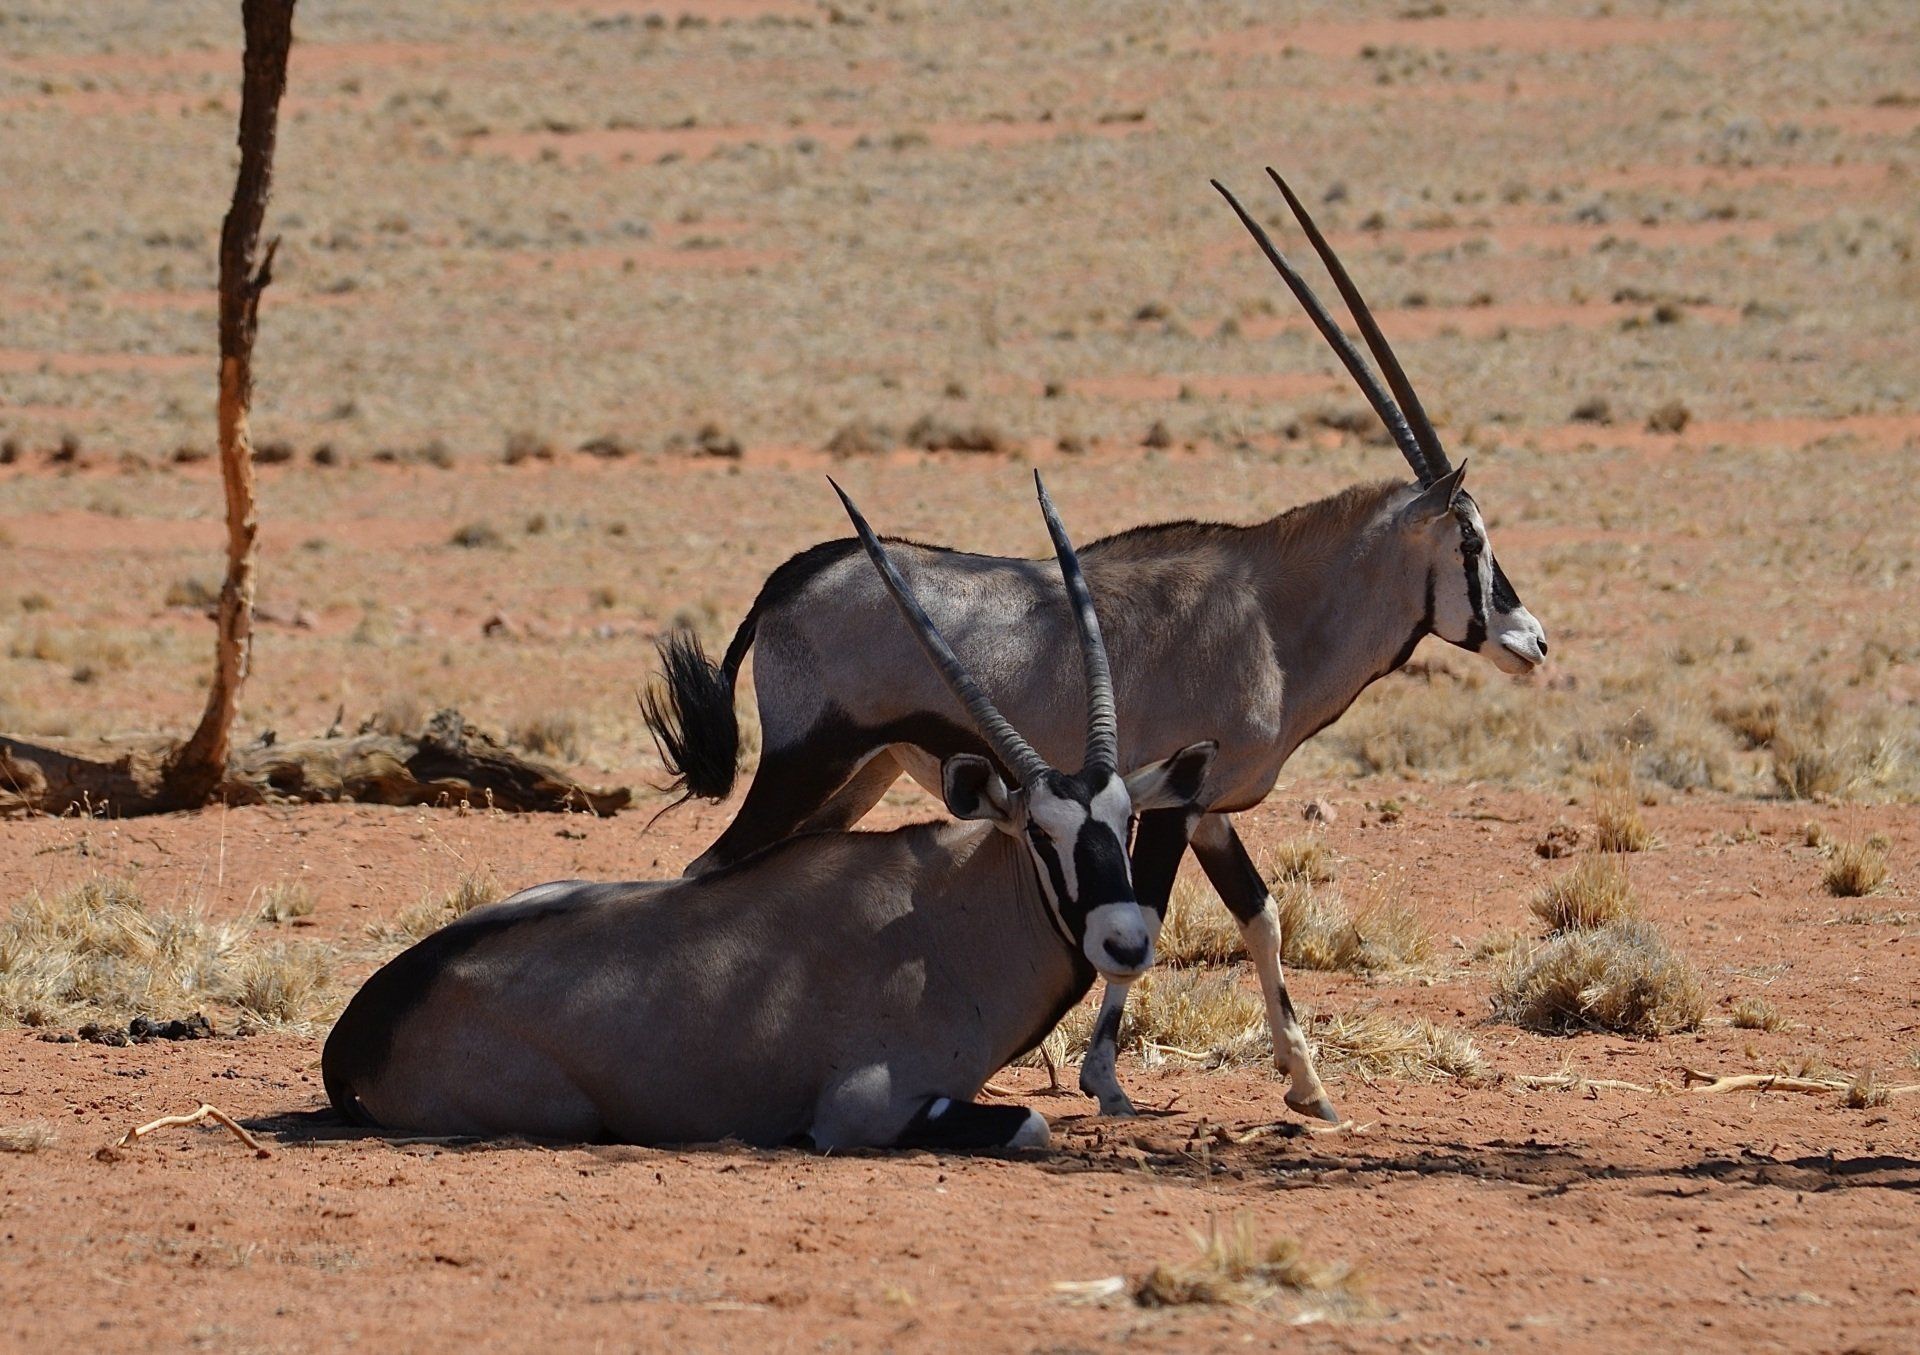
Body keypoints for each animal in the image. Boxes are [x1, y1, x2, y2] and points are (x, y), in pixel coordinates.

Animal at [322, 476, 1215, 1149]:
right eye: (1039, 831)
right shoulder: (864, 1104)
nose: (1125, 942)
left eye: (1125, 821)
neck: (950, 910)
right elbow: (1032, 1122)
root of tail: (361, 1024)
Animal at [642, 170, 1549, 1122]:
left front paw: (1309, 1087)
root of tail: (790, 580)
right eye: (1472, 539)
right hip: (802, 765)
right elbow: (1146, 914)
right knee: (707, 868)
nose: (1532, 639)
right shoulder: (1173, 806)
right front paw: (1106, 1078)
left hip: (859, 776)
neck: (1271, 612)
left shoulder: (1208, 804)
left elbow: (1260, 915)